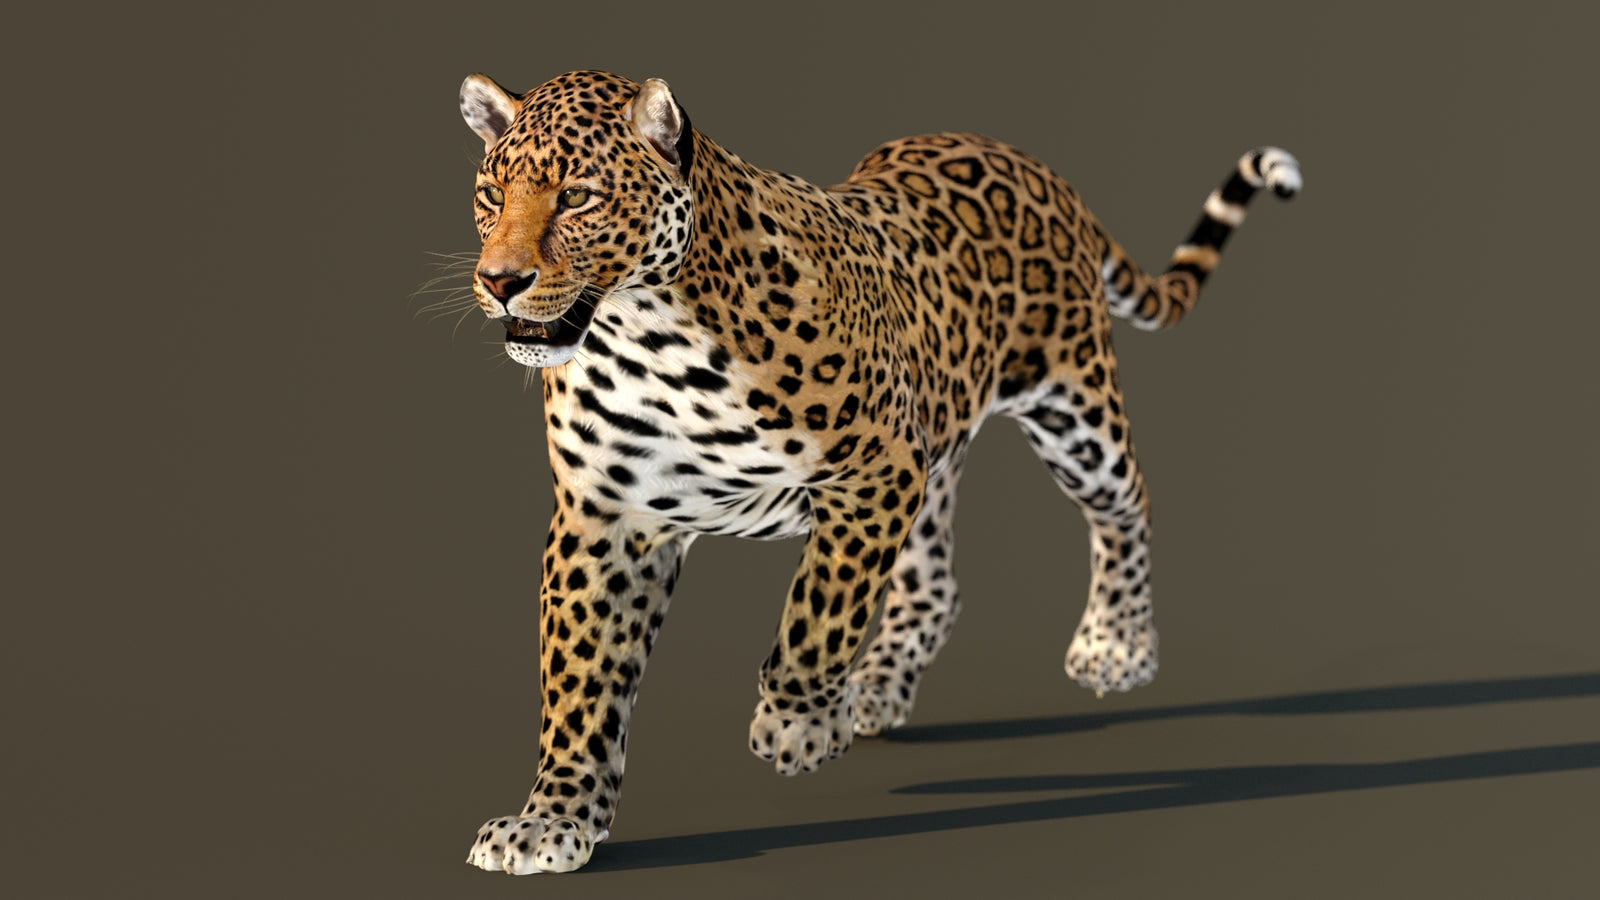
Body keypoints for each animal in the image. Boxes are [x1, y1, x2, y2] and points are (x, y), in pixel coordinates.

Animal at [448, 69, 1299, 874]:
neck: (646, 337)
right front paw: (553, 821)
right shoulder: (606, 520)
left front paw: (798, 724)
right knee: (936, 583)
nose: (500, 282)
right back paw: (879, 684)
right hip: (937, 446)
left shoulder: (872, 472)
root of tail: (1027, 159)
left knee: (1128, 505)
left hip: (1073, 411)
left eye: (578, 196)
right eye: (492, 194)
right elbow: (580, 685)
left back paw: (1117, 646)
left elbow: (819, 611)